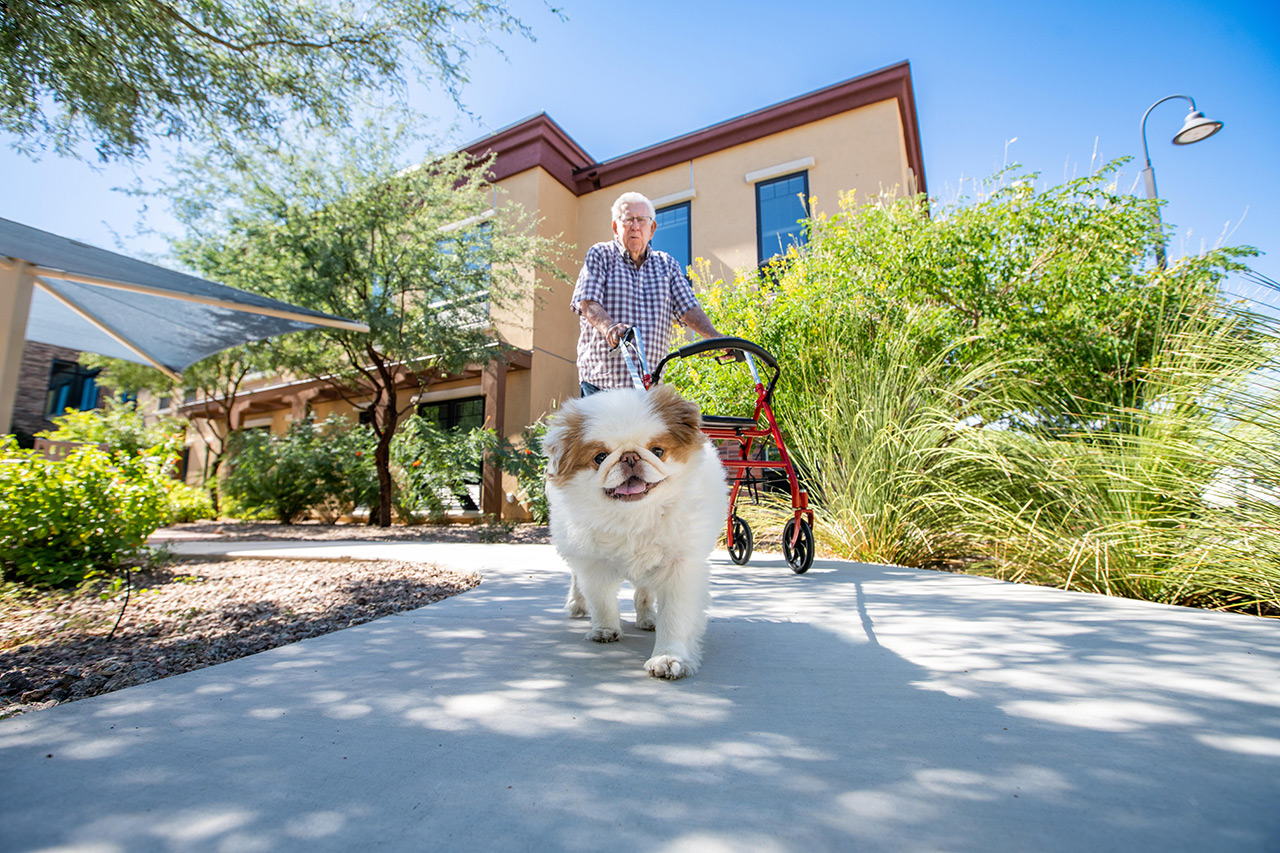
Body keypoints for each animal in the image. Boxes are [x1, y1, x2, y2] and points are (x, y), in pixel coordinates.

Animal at [542, 384, 732, 676]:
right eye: (599, 457)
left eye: (658, 450)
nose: (629, 456)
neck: (634, 517)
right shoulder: (593, 563)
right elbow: (601, 601)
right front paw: (605, 630)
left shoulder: (678, 566)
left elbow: (675, 617)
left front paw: (668, 658)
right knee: (577, 580)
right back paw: (577, 604)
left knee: (644, 592)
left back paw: (647, 618)